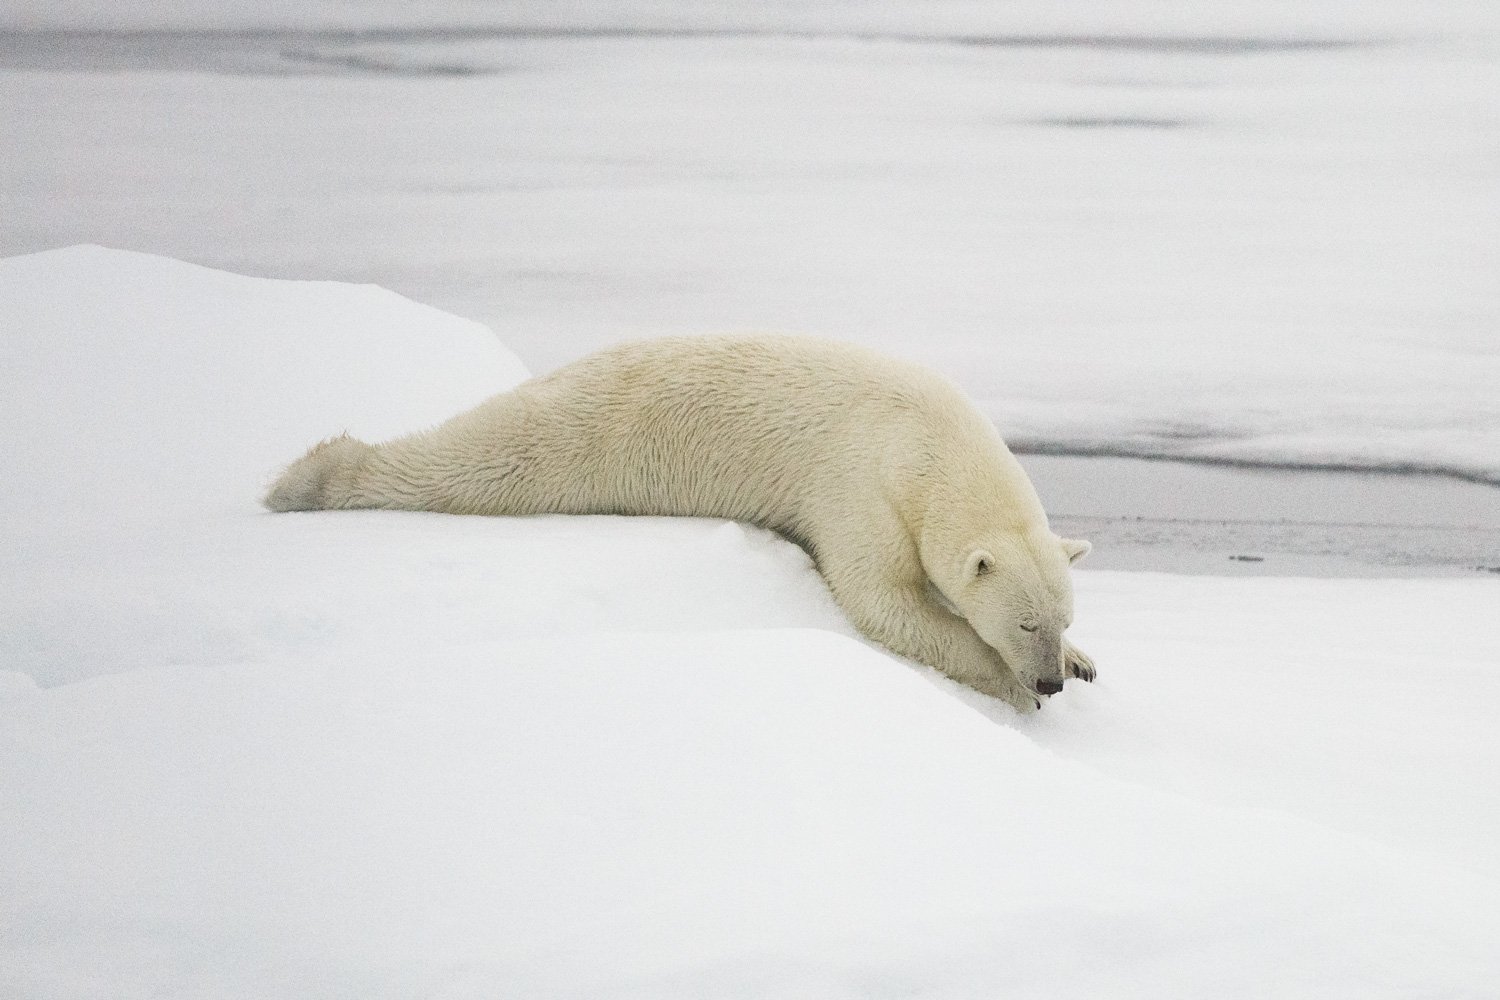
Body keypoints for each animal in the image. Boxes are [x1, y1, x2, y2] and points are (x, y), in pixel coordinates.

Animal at [264, 335, 1098, 710]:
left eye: (1060, 616)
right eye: (1024, 623)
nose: (1051, 681)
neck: (925, 440)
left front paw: (1086, 662)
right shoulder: (860, 488)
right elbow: (882, 602)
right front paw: (1006, 684)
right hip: (593, 436)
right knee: (486, 459)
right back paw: (310, 477)